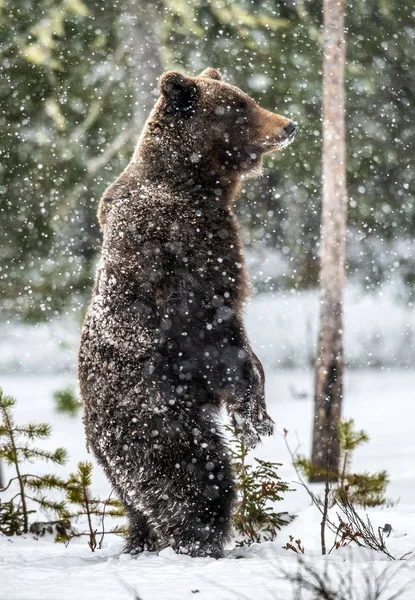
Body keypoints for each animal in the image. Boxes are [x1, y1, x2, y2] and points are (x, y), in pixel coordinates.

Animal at [79, 67, 300, 556]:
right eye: (239, 106)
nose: (288, 125)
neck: (194, 183)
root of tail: (96, 436)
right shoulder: (185, 254)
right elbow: (214, 335)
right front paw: (254, 416)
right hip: (157, 422)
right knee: (195, 480)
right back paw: (203, 542)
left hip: (119, 465)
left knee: (139, 506)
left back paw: (141, 540)